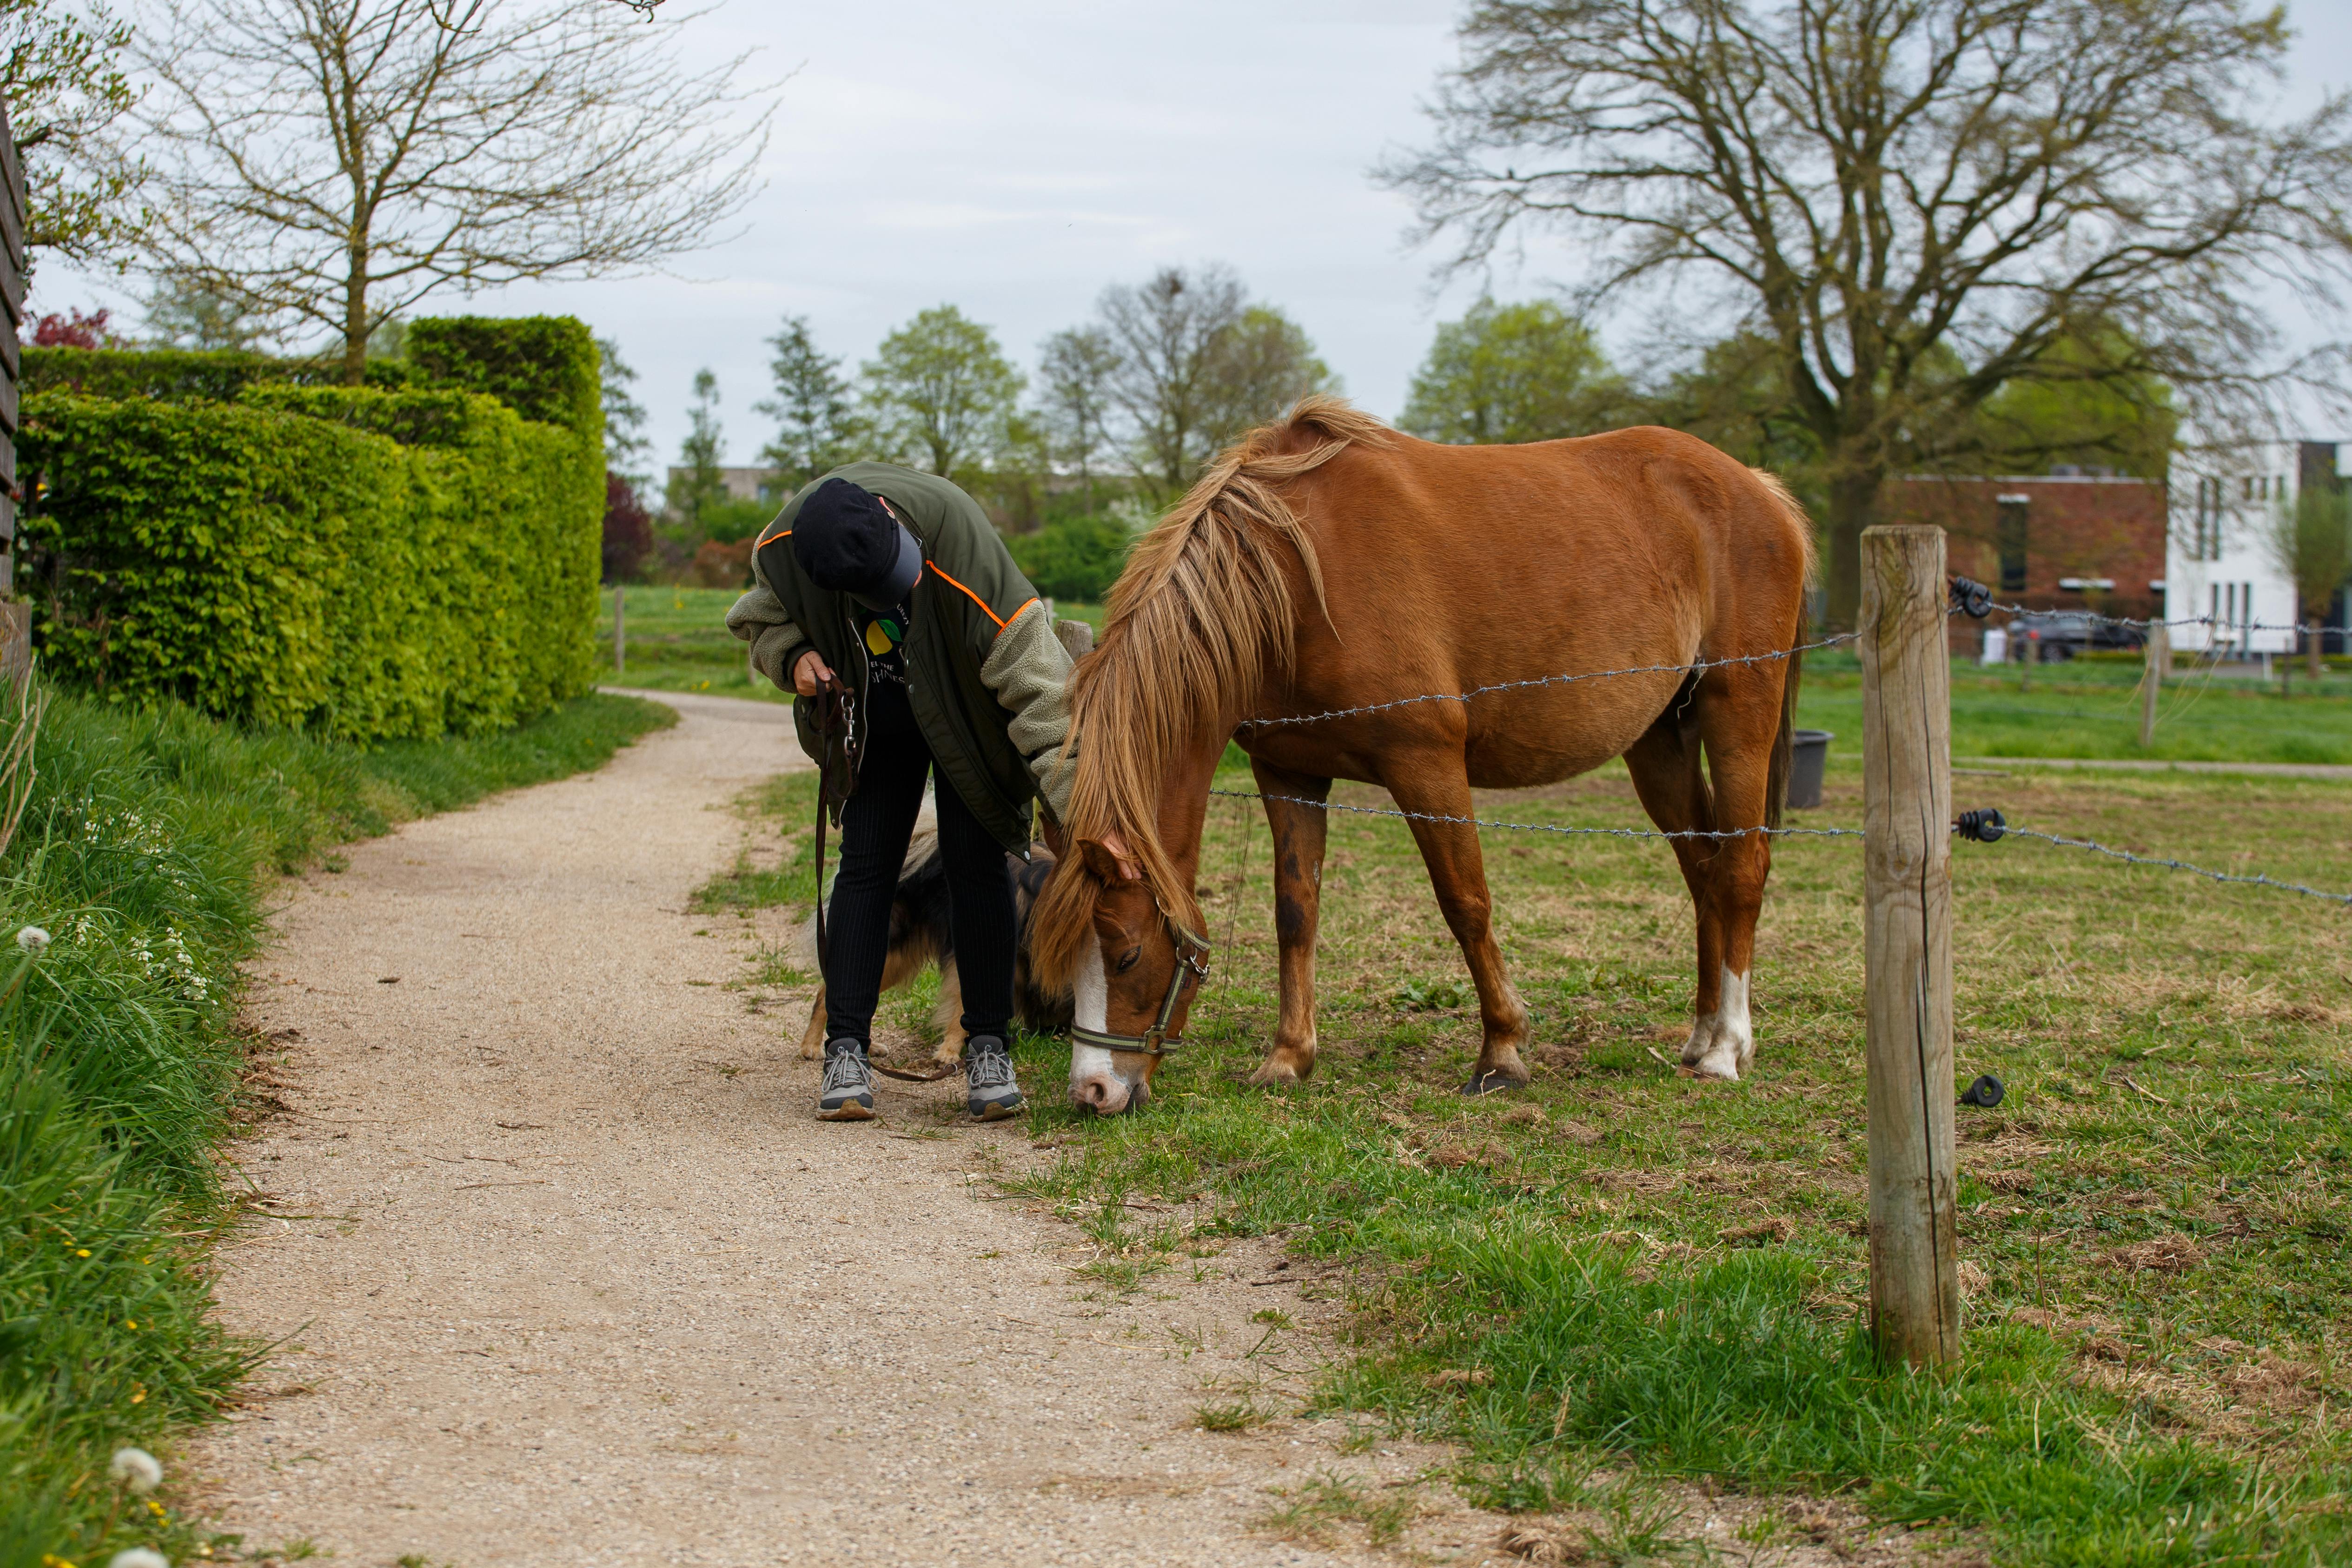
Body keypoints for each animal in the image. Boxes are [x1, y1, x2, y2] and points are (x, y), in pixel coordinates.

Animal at [1028, 396, 1814, 1115]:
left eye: (1126, 953)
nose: (1093, 1091)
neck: (1296, 573)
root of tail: (1755, 488)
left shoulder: (1424, 763)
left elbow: (1464, 904)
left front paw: (1501, 1052)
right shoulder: (1287, 771)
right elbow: (1295, 910)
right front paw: (1287, 1057)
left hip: (1737, 709)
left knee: (1740, 869)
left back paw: (1725, 1049)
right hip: (1658, 741)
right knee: (1701, 869)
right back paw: (1699, 1033)